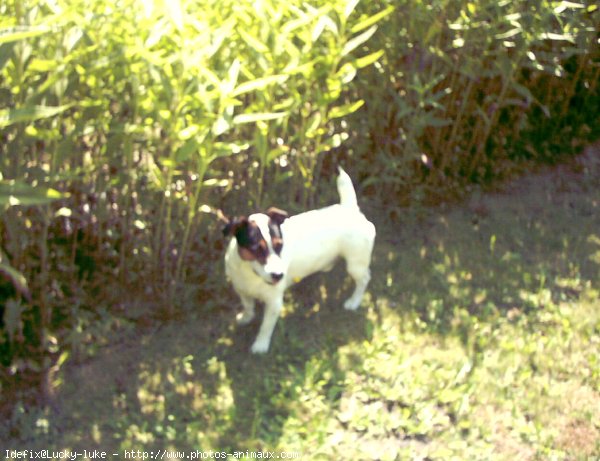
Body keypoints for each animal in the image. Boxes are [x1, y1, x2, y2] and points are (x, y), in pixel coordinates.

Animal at [223, 168, 376, 352]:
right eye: (255, 249)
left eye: (280, 245)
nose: (278, 275)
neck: (250, 274)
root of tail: (350, 208)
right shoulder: (241, 289)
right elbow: (248, 306)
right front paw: (246, 317)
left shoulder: (274, 303)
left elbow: (266, 326)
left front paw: (260, 345)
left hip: (355, 263)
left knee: (365, 278)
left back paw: (354, 301)